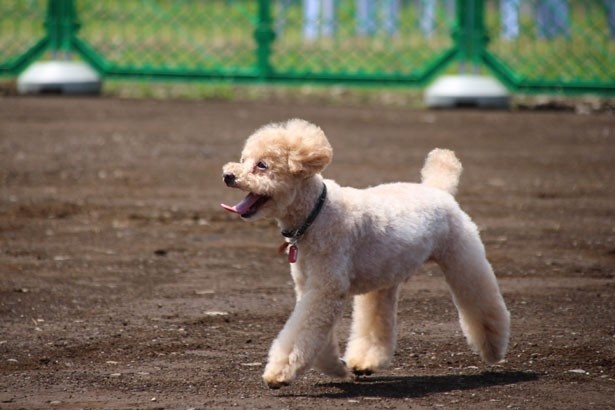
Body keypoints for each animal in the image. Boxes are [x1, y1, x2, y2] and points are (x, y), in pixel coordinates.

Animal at [221, 118, 510, 388]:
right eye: (244, 159)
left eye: (262, 165)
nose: (228, 175)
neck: (316, 213)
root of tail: (438, 190)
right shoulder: (310, 288)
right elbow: (314, 335)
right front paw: (337, 369)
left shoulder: (325, 290)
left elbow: (300, 332)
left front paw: (279, 373)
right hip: (385, 277)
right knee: (377, 318)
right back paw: (365, 362)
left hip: (463, 257)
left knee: (481, 301)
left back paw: (493, 349)